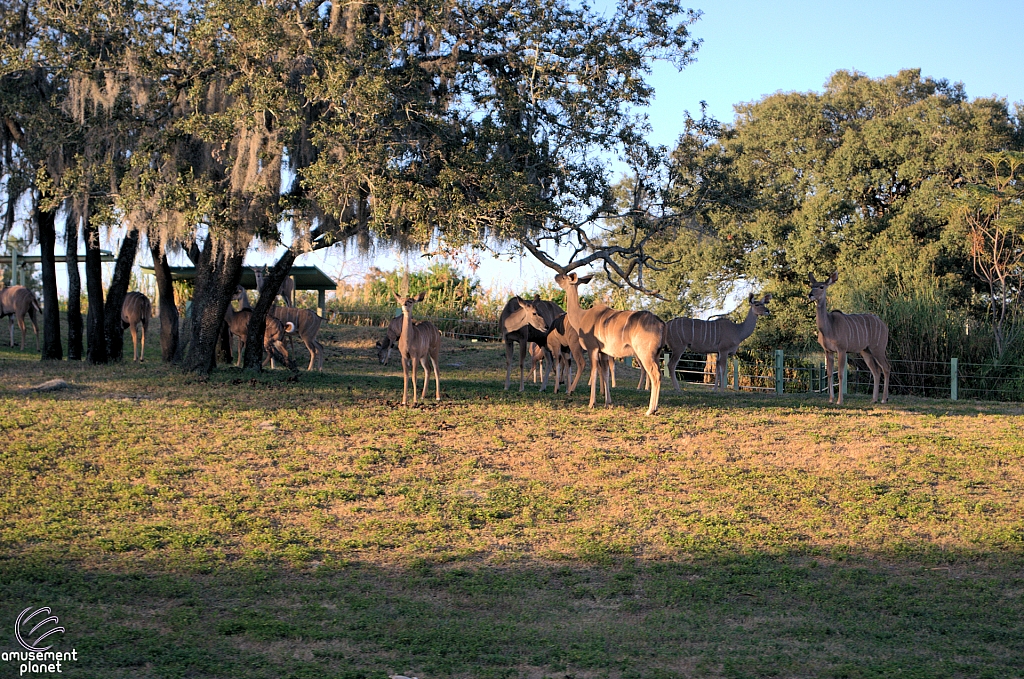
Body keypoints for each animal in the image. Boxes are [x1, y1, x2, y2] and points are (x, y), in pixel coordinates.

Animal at [557, 274, 667, 417]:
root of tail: (661, 323)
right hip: (656, 355)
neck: (581, 317)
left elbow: (594, 372)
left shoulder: (593, 348)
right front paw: (607, 402)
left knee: (655, 375)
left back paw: (650, 410)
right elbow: (605, 373)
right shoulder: (604, 352)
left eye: (564, 277)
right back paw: (654, 408)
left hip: (645, 354)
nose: (556, 276)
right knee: (658, 374)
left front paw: (591, 403)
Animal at [806, 272, 888, 409]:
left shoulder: (842, 350)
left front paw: (839, 401)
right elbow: (829, 373)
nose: (810, 295)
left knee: (886, 368)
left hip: (878, 349)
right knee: (876, 371)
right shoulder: (828, 351)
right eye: (812, 285)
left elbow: (840, 374)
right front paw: (830, 400)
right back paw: (874, 400)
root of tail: (885, 326)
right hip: (866, 351)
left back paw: (883, 399)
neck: (829, 326)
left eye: (821, 286)